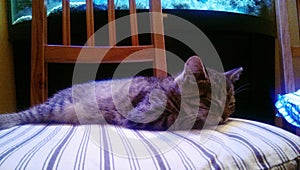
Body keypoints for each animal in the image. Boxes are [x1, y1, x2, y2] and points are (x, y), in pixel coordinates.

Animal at [0, 56, 241, 131]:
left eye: (231, 104)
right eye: (210, 101)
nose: (224, 117)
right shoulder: (142, 114)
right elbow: (183, 118)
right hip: (57, 106)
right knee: (29, 113)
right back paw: (6, 120)